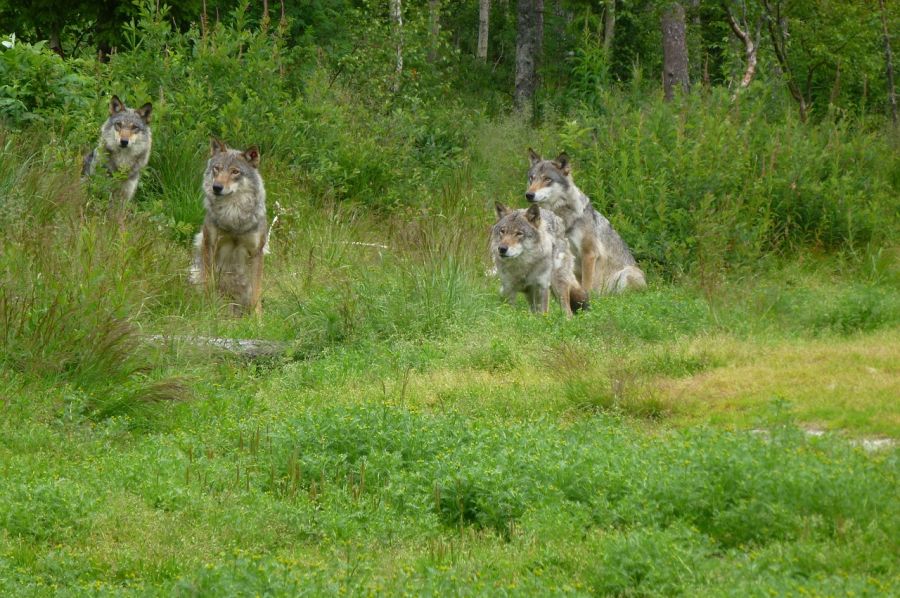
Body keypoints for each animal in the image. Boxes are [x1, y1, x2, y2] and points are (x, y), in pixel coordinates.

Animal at [190, 138, 268, 316]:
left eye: (235, 172)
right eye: (217, 169)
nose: (216, 187)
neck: (233, 215)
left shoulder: (257, 252)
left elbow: (257, 291)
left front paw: (258, 318)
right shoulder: (210, 244)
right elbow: (209, 282)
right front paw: (208, 308)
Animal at [528, 150, 648, 296]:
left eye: (547, 179)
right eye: (532, 178)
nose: (529, 194)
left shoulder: (589, 253)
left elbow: (586, 283)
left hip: (626, 274)